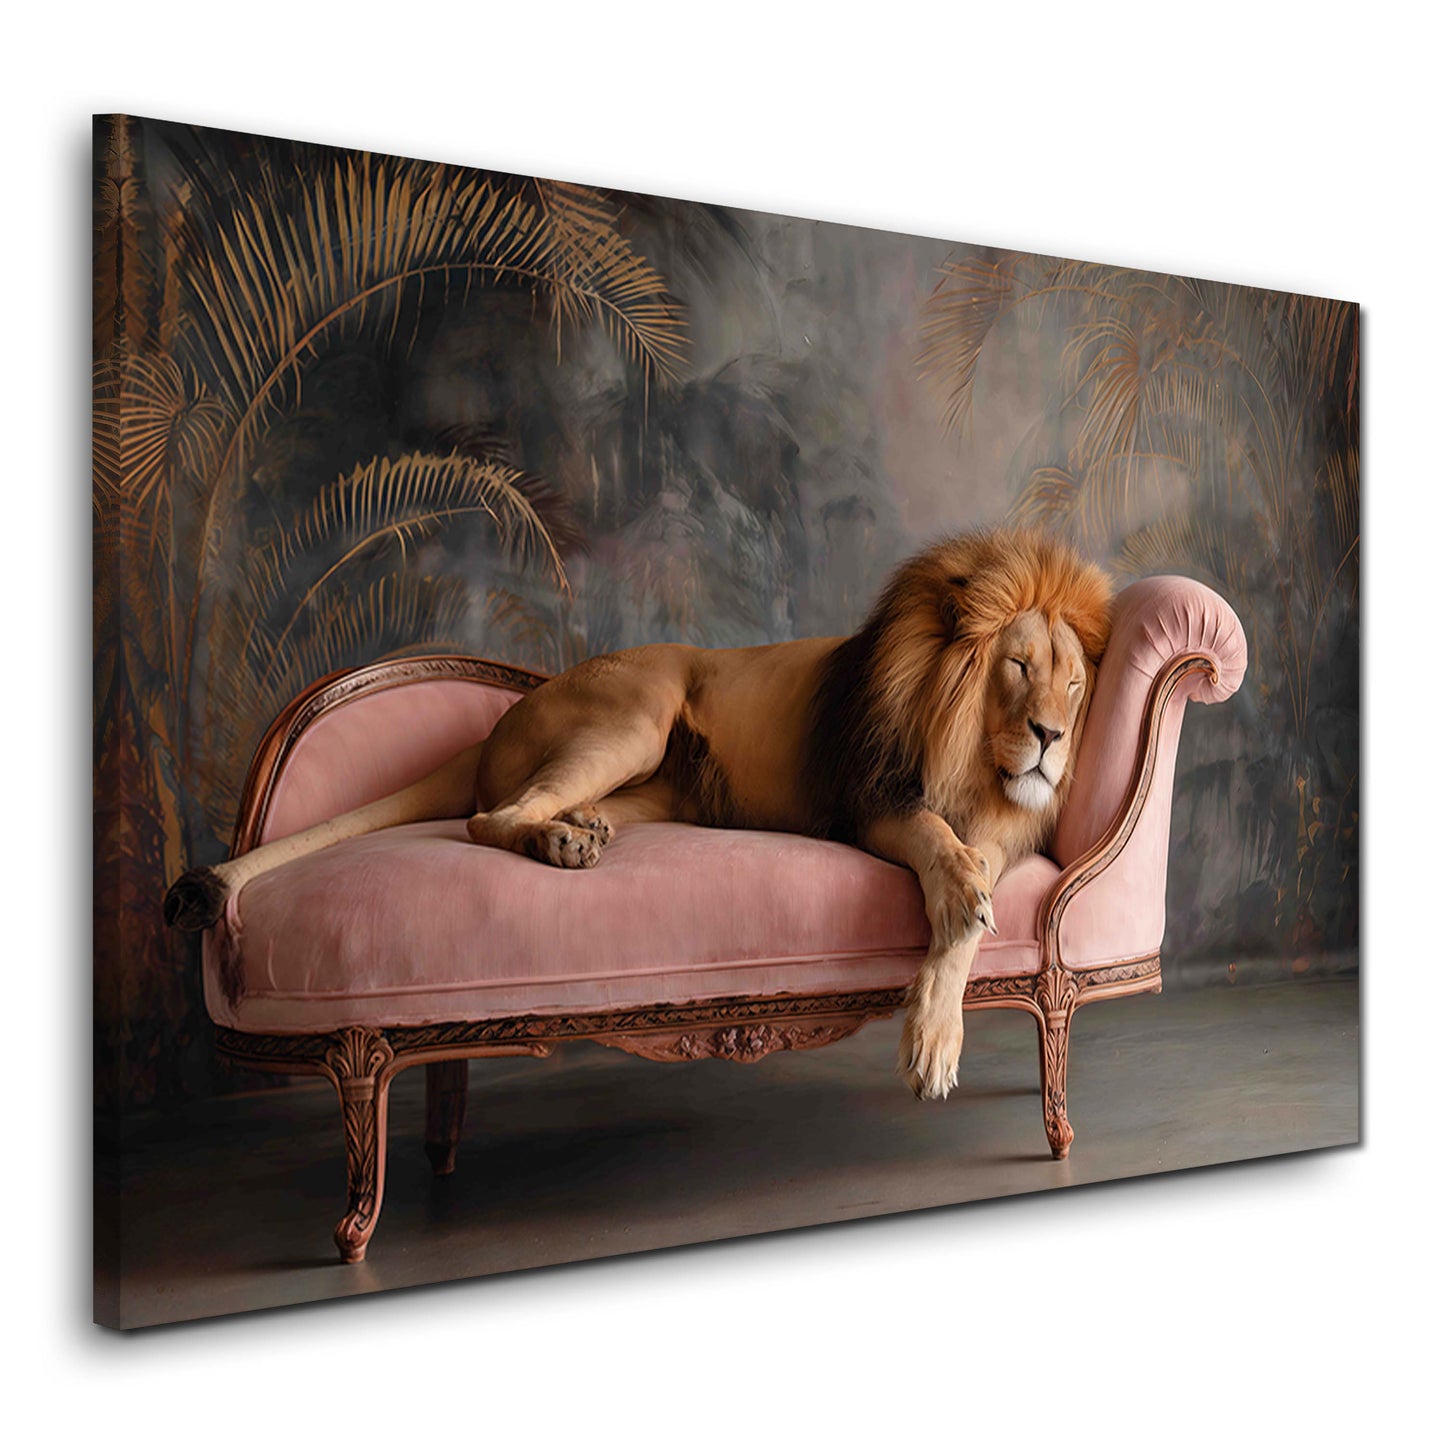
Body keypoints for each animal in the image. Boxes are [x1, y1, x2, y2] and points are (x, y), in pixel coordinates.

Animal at [165, 528, 1113, 1100]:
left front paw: (939, 1020)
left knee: (537, 805)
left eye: (1073, 683)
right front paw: (933, 1034)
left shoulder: (995, 829)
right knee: (485, 817)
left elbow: (972, 891)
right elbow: (943, 857)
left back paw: (582, 826)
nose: (1054, 738)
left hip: (660, 780)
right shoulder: (871, 802)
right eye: (1017, 666)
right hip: (638, 707)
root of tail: (508, 712)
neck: (970, 756)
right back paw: (558, 841)